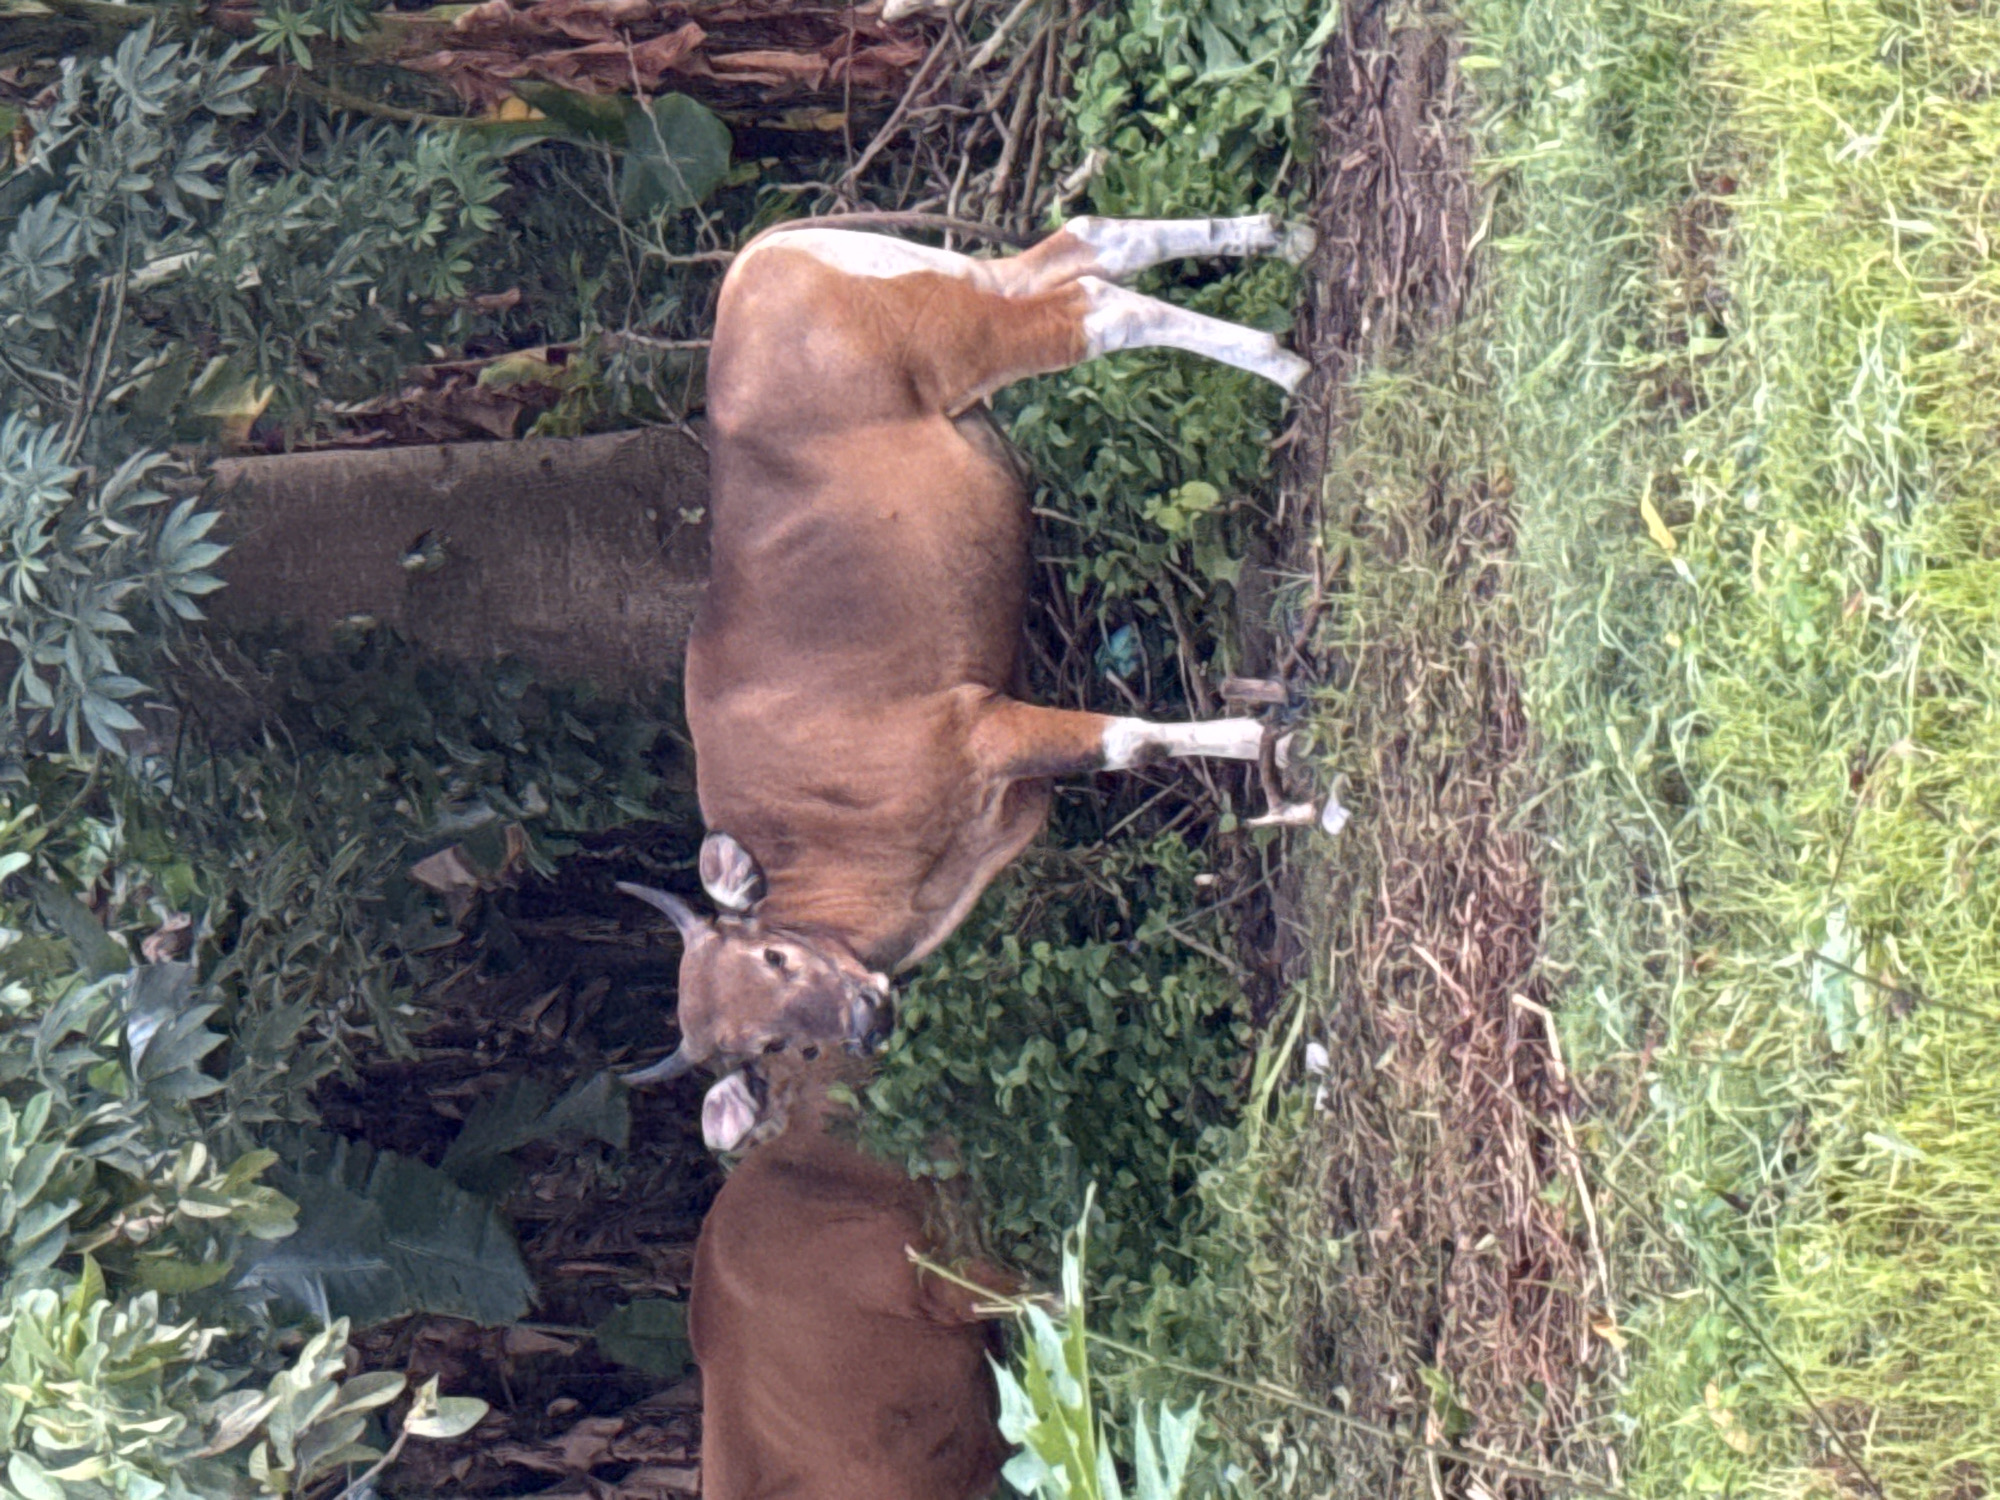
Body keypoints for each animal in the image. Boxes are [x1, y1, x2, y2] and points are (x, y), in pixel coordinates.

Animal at [619, 212, 1315, 1094]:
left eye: (776, 956)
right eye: (768, 1046)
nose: (863, 1022)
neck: (829, 836)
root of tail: (758, 262)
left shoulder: (981, 729)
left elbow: (1133, 742)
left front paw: (1273, 745)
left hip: (954, 342)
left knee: (1093, 308)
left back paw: (1288, 364)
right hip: (947, 290)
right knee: (1084, 244)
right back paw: (1281, 243)